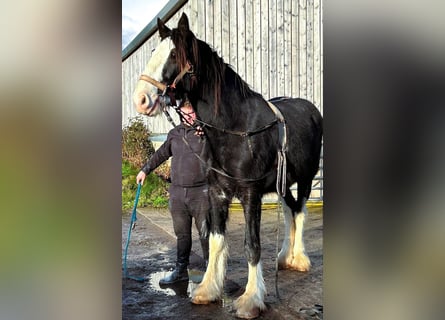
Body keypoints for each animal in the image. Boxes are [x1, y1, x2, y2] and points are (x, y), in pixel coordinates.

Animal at [132, 13, 322, 318]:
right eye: (153, 51)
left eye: (174, 54)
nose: (141, 99)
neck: (236, 127)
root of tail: (312, 110)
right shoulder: (217, 192)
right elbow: (215, 239)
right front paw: (207, 290)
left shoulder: (250, 194)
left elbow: (251, 245)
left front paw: (251, 299)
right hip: (282, 184)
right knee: (289, 211)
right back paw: (285, 258)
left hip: (306, 179)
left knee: (301, 212)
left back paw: (300, 258)